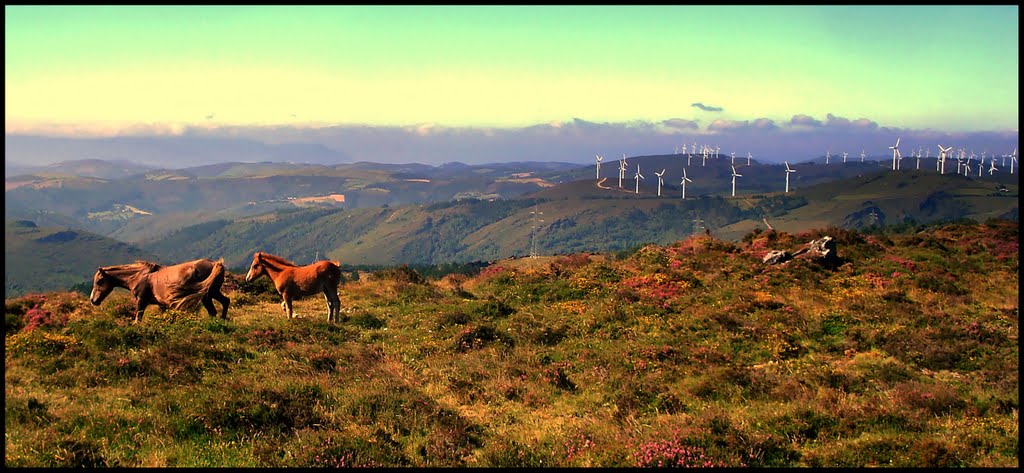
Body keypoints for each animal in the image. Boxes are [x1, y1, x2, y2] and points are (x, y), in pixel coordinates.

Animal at [90, 256, 230, 323]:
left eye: (99, 281)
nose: (93, 300)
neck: (139, 276)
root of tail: (214, 264)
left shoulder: (141, 301)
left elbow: (138, 319)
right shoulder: (161, 304)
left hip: (207, 296)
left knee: (213, 311)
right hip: (213, 292)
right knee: (225, 302)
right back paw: (223, 320)